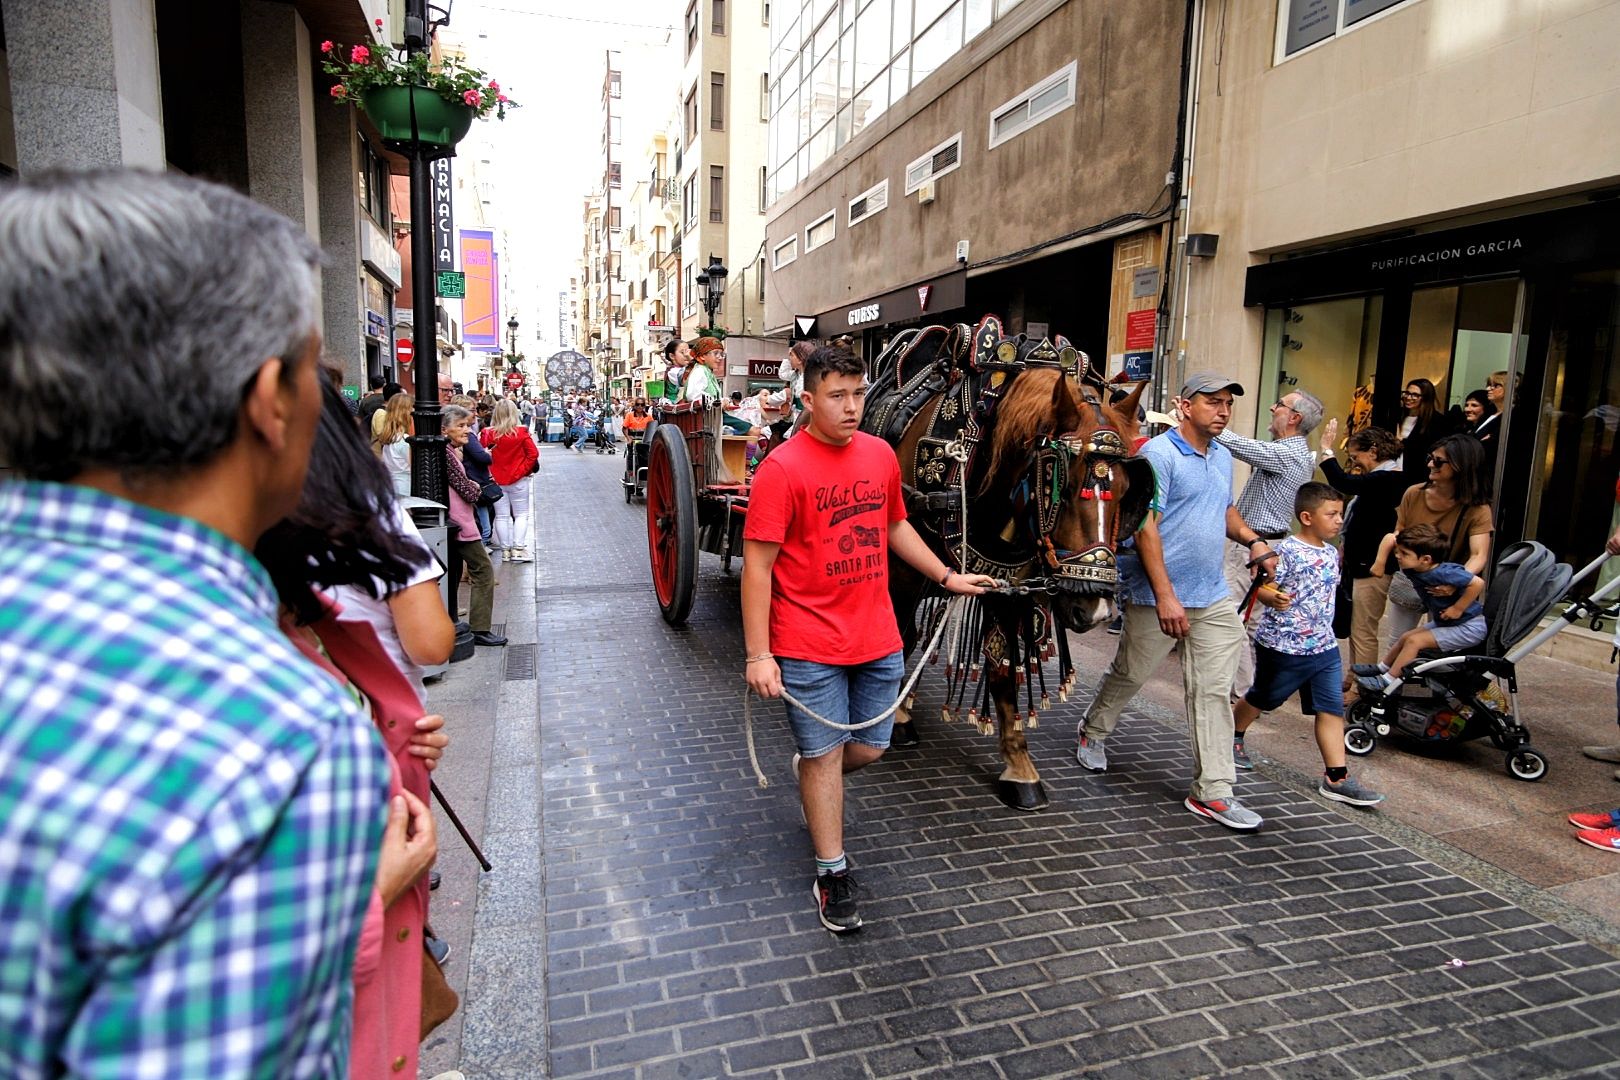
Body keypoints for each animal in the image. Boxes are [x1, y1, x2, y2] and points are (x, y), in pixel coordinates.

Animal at [887, 362, 1153, 809]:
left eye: (1126, 493)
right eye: (1062, 485)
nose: (1094, 610)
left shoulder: (1008, 585)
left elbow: (1003, 669)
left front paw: (1019, 768)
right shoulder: (903, 572)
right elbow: (898, 639)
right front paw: (886, 718)